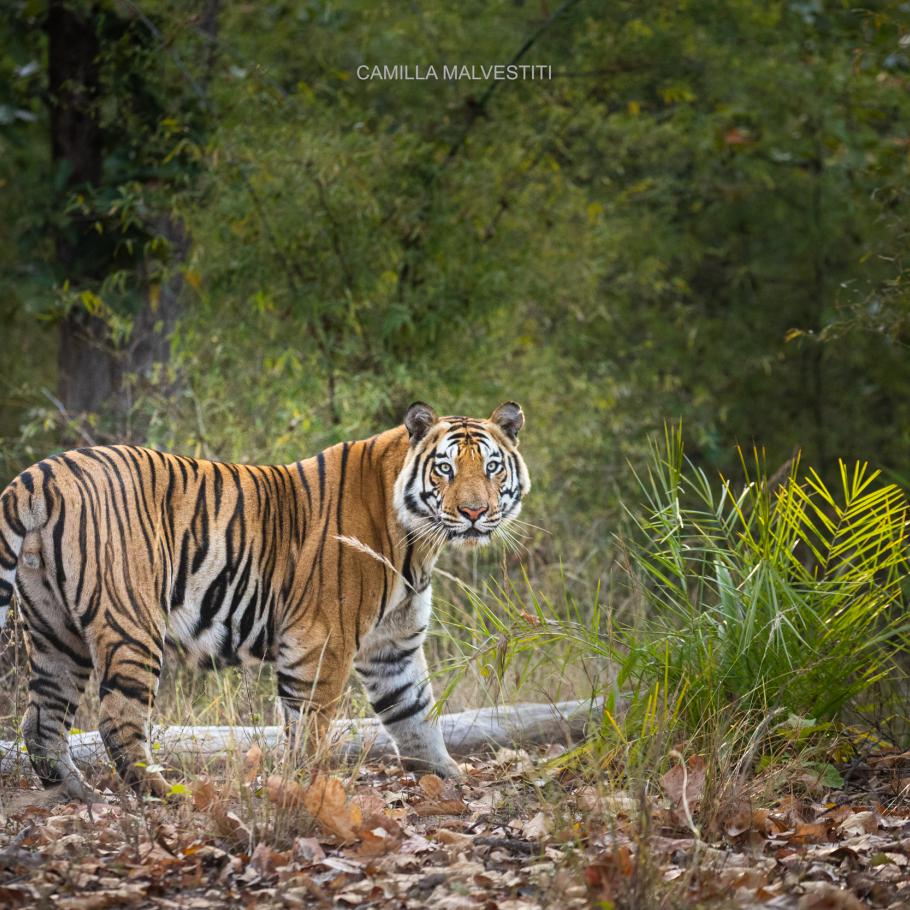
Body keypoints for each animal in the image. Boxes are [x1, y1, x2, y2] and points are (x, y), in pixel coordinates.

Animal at [0, 402, 528, 800]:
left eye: (491, 467)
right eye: (445, 469)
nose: (474, 512)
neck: (418, 541)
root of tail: (39, 473)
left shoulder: (392, 646)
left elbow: (415, 713)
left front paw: (448, 777)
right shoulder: (321, 641)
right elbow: (310, 726)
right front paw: (309, 787)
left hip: (55, 632)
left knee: (41, 720)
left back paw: (76, 793)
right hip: (131, 624)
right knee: (117, 721)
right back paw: (165, 794)